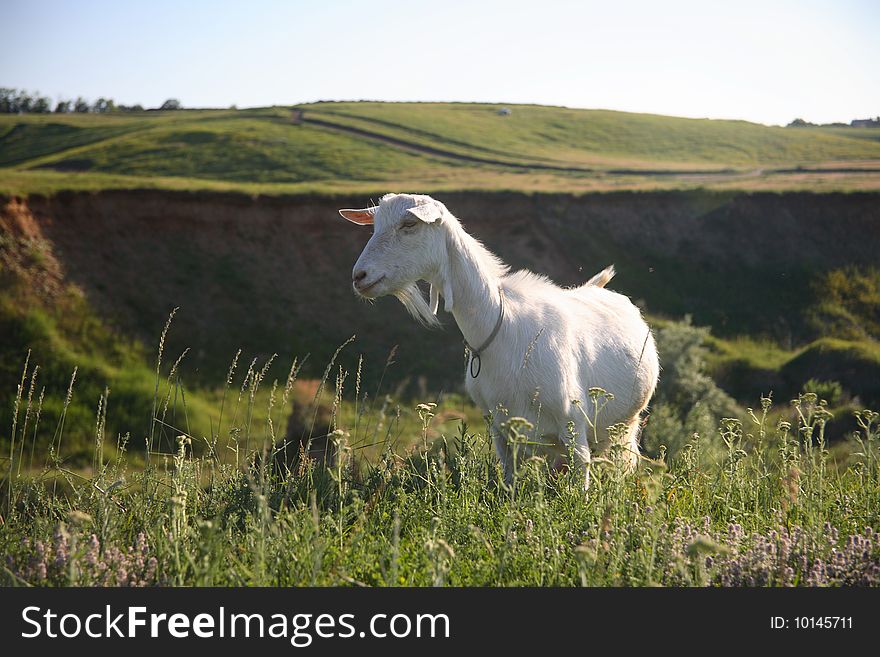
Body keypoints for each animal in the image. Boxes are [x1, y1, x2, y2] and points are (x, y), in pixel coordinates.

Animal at [340, 192, 656, 484]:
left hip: (625, 424)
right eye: (375, 226)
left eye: (409, 224)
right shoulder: (502, 432)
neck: (501, 326)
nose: (359, 276)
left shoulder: (574, 427)